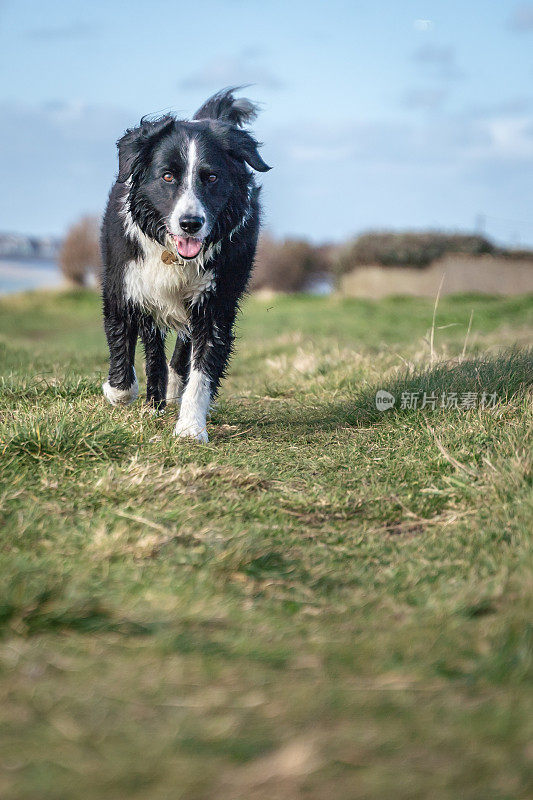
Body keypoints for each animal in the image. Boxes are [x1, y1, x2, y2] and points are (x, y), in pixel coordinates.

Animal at [100, 90, 270, 446]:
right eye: (168, 176)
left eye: (212, 177)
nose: (191, 223)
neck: (174, 255)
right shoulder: (123, 288)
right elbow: (125, 358)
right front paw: (118, 390)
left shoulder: (215, 303)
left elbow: (202, 371)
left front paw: (191, 427)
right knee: (154, 352)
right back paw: (154, 402)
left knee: (181, 352)